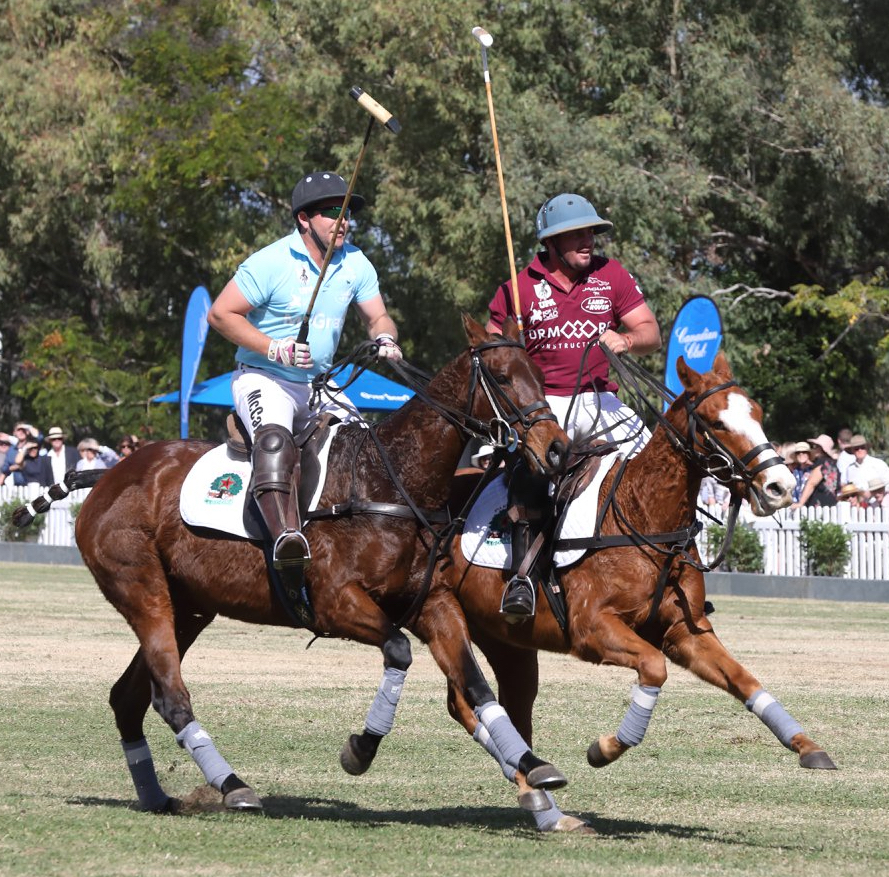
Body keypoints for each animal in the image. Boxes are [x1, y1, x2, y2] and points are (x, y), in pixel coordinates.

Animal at [57, 314, 568, 816]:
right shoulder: (334, 603)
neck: (390, 480)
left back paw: (156, 796)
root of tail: (110, 473)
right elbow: (399, 651)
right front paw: (360, 749)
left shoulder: (431, 603)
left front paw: (534, 766)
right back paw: (233, 786)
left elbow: (475, 684)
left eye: (541, 374)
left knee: (128, 697)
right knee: (169, 696)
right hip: (142, 590)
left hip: (189, 607)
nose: (558, 449)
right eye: (502, 376)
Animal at [426, 350, 836, 820]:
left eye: (758, 413)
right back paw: (534, 785)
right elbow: (654, 668)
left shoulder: (684, 631)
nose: (780, 486)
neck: (644, 515)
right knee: (466, 701)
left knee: (502, 701)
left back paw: (537, 786)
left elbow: (745, 679)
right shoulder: (591, 629)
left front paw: (807, 746)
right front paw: (604, 748)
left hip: (505, 639)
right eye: (716, 423)